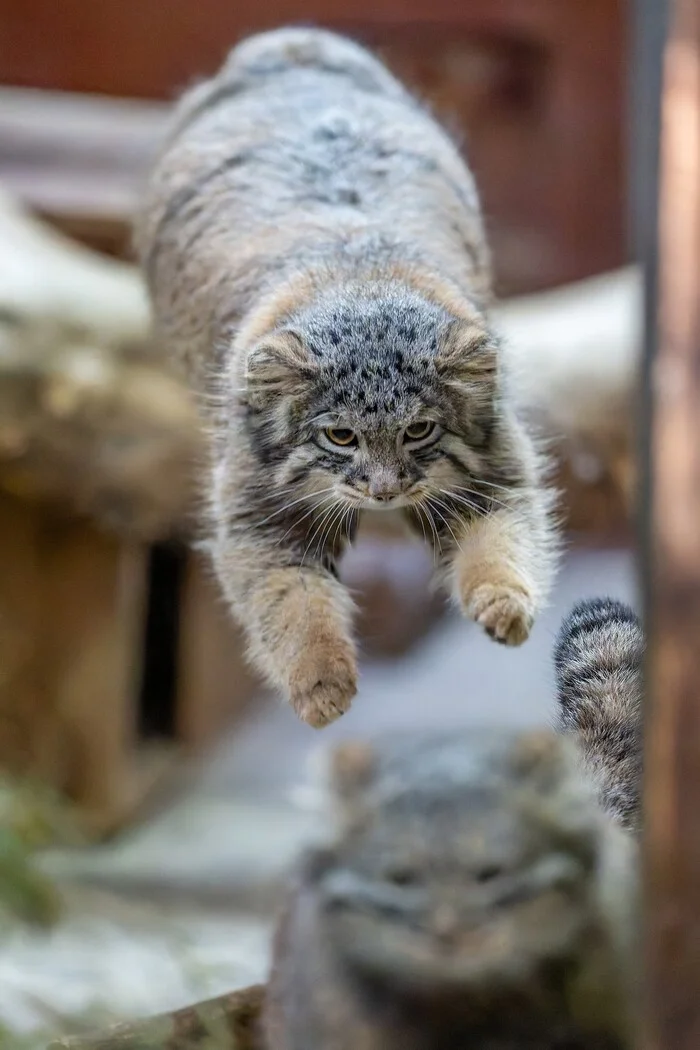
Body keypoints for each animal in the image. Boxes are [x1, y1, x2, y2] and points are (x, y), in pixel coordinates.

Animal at [136, 26, 558, 730]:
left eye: (419, 430)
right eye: (339, 437)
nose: (385, 491)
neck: (358, 272)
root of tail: (294, 41)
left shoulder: (495, 474)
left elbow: (501, 544)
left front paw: (504, 604)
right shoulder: (258, 517)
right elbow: (294, 606)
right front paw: (322, 683)